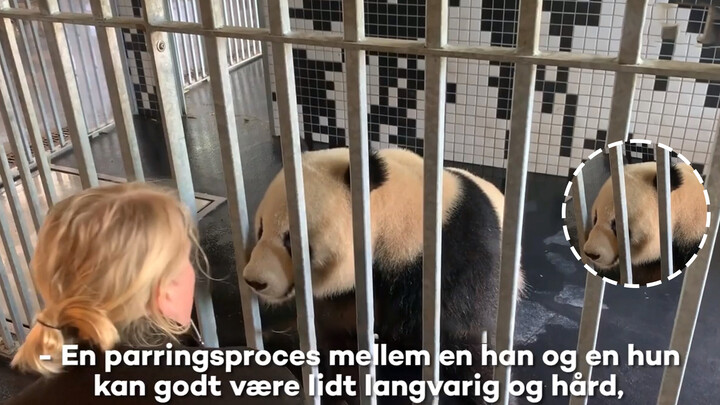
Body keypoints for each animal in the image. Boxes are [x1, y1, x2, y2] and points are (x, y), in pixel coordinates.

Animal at [242, 147, 524, 402]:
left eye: (291, 240)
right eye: (260, 229)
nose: (255, 280)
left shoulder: (456, 260)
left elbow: (466, 337)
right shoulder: (348, 293)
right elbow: (338, 340)